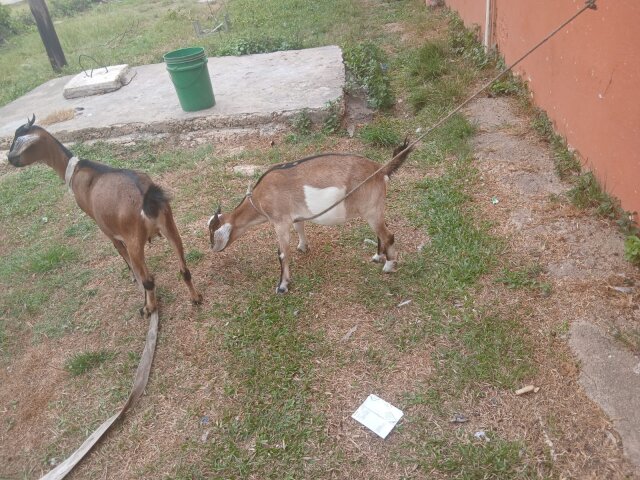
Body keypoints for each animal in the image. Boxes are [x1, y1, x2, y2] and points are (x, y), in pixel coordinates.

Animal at [7, 115, 202, 316]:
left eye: (16, 140)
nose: (9, 159)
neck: (75, 170)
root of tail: (147, 198)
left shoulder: (106, 229)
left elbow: (121, 252)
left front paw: (135, 279)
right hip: (170, 225)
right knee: (184, 269)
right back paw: (195, 298)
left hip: (134, 239)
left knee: (148, 279)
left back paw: (149, 307)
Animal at [208, 140, 413, 293]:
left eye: (212, 233)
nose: (211, 248)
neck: (258, 198)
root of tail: (380, 169)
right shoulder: (295, 216)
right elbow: (299, 228)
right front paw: (303, 247)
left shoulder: (280, 221)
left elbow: (282, 253)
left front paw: (282, 286)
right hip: (375, 209)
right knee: (381, 234)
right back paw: (378, 257)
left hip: (371, 209)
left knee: (388, 236)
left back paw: (389, 266)